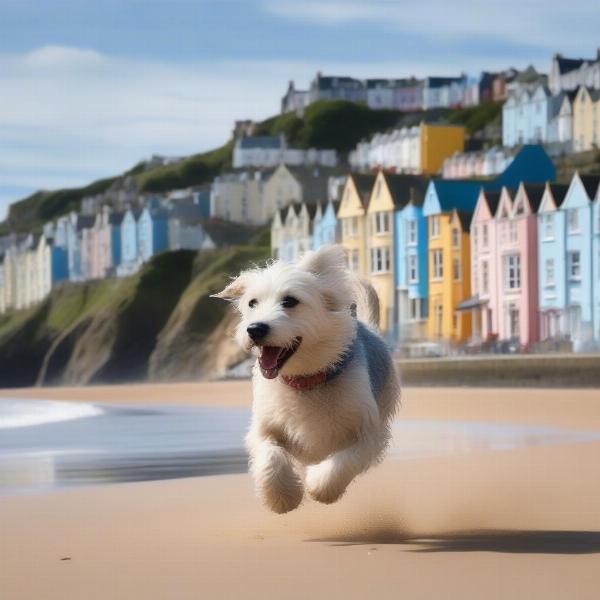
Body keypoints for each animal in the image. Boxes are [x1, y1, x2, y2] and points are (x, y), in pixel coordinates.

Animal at [213, 246, 400, 512]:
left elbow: (343, 461)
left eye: (290, 301)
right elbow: (270, 455)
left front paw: (319, 486)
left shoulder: (368, 435)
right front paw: (282, 496)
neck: (306, 380)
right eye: (252, 303)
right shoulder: (263, 429)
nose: (255, 329)